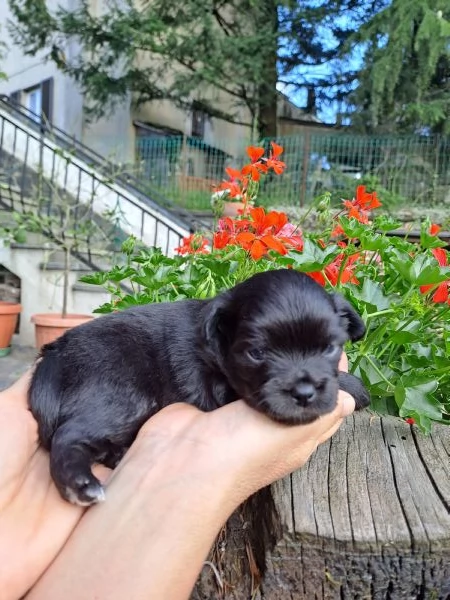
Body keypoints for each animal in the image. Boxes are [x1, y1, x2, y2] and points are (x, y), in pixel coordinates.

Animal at [29, 270, 370, 504]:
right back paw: (79, 484)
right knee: (69, 434)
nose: (304, 394)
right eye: (257, 353)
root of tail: (54, 355)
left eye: (329, 348)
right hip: (122, 395)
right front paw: (356, 386)